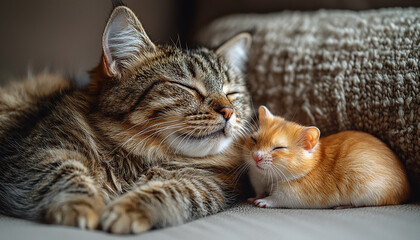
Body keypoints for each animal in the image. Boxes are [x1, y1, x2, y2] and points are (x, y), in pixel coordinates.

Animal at [0, 5, 251, 234]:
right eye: (187, 87)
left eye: (231, 93)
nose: (229, 112)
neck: (143, 157)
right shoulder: (36, 153)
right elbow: (66, 174)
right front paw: (82, 206)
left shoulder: (212, 185)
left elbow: (174, 191)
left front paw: (127, 210)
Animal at [244, 106, 408, 207]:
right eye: (254, 139)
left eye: (279, 148)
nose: (256, 157)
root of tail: (408, 190)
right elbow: (260, 192)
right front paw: (253, 198)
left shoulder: (294, 194)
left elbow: (276, 198)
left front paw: (261, 202)